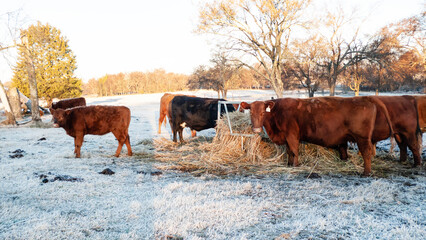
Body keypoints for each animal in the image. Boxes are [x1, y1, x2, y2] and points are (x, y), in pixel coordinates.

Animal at [241, 96, 394, 175]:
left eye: (263, 112)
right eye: (250, 112)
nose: (256, 129)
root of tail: (365, 99)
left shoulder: (292, 136)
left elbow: (294, 151)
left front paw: (295, 166)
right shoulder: (286, 138)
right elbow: (289, 152)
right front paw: (289, 165)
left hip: (362, 138)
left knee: (366, 153)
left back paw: (366, 173)